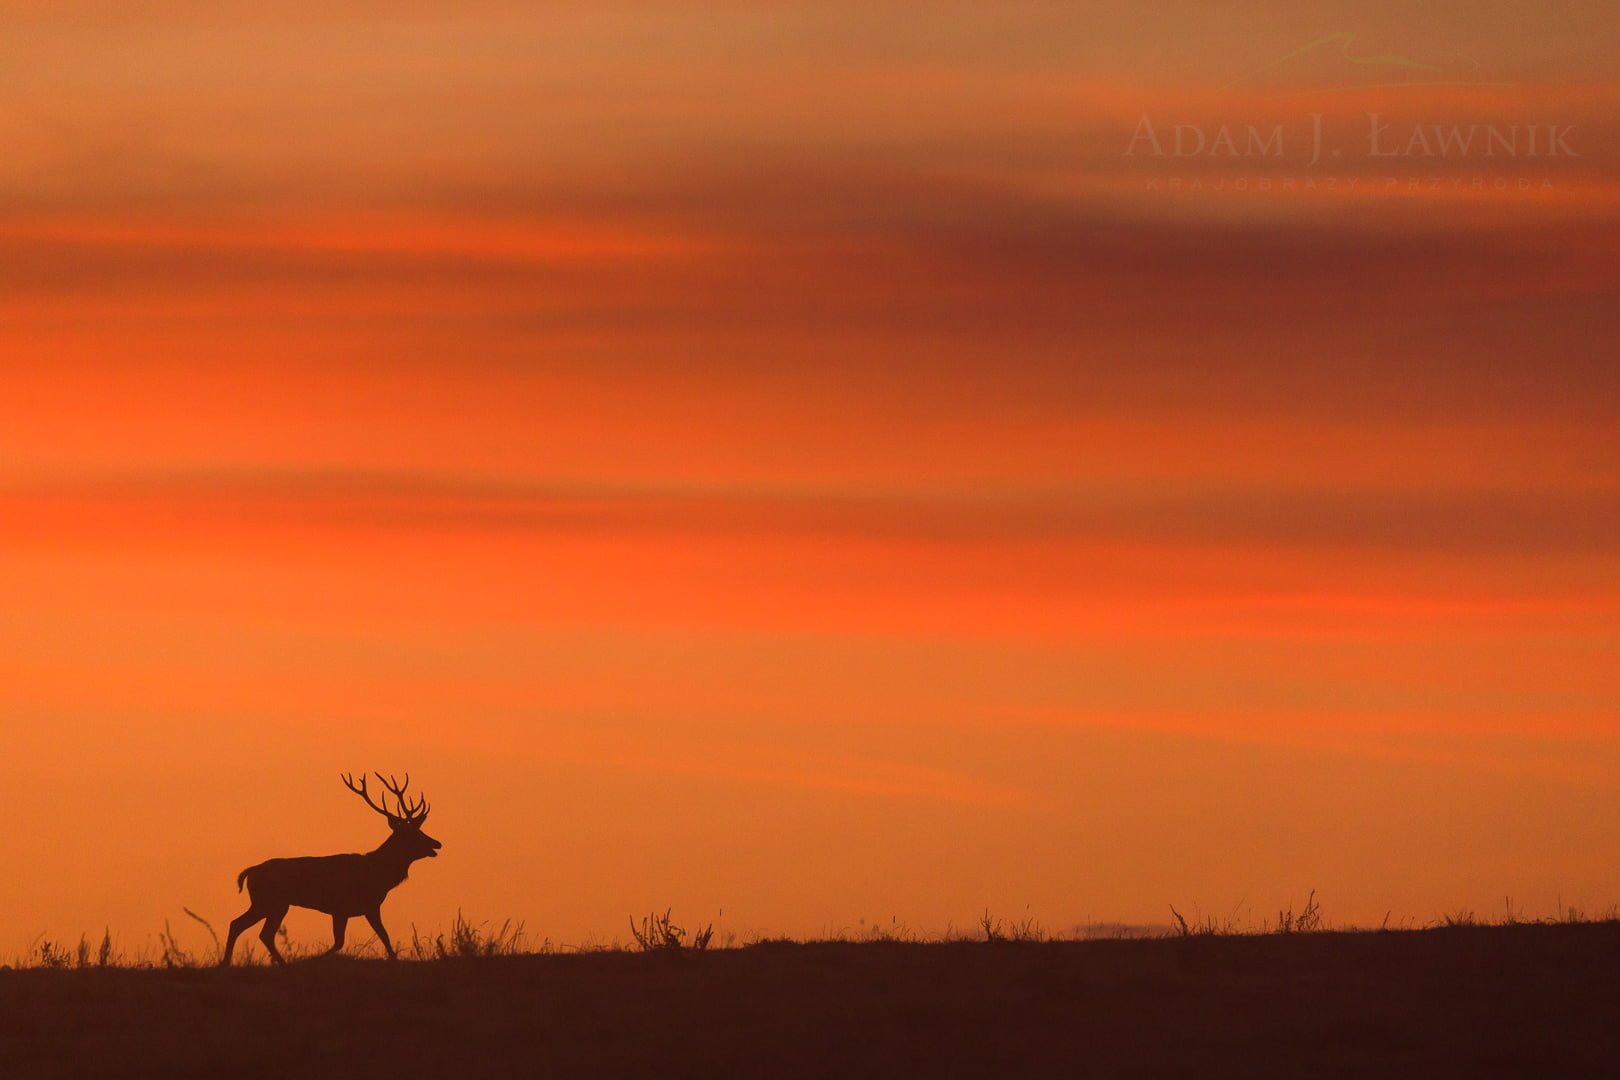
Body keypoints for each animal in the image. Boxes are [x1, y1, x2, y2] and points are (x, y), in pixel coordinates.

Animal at [221, 773, 440, 965]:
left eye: (420, 830)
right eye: (412, 834)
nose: (437, 843)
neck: (378, 875)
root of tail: (251, 871)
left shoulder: (343, 910)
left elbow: (341, 942)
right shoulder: (362, 905)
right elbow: (380, 936)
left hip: (271, 904)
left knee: (246, 927)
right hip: (270, 902)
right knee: (253, 929)